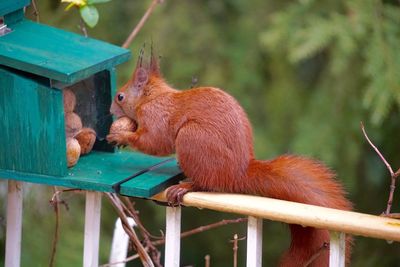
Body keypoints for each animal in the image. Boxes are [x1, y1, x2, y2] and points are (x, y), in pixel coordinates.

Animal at [107, 49, 354, 266]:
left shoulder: (157, 116)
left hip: (192, 139)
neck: (152, 97)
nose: (110, 112)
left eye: (120, 96)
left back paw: (187, 186)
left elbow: (154, 142)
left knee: (209, 184)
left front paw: (121, 135)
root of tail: (239, 172)